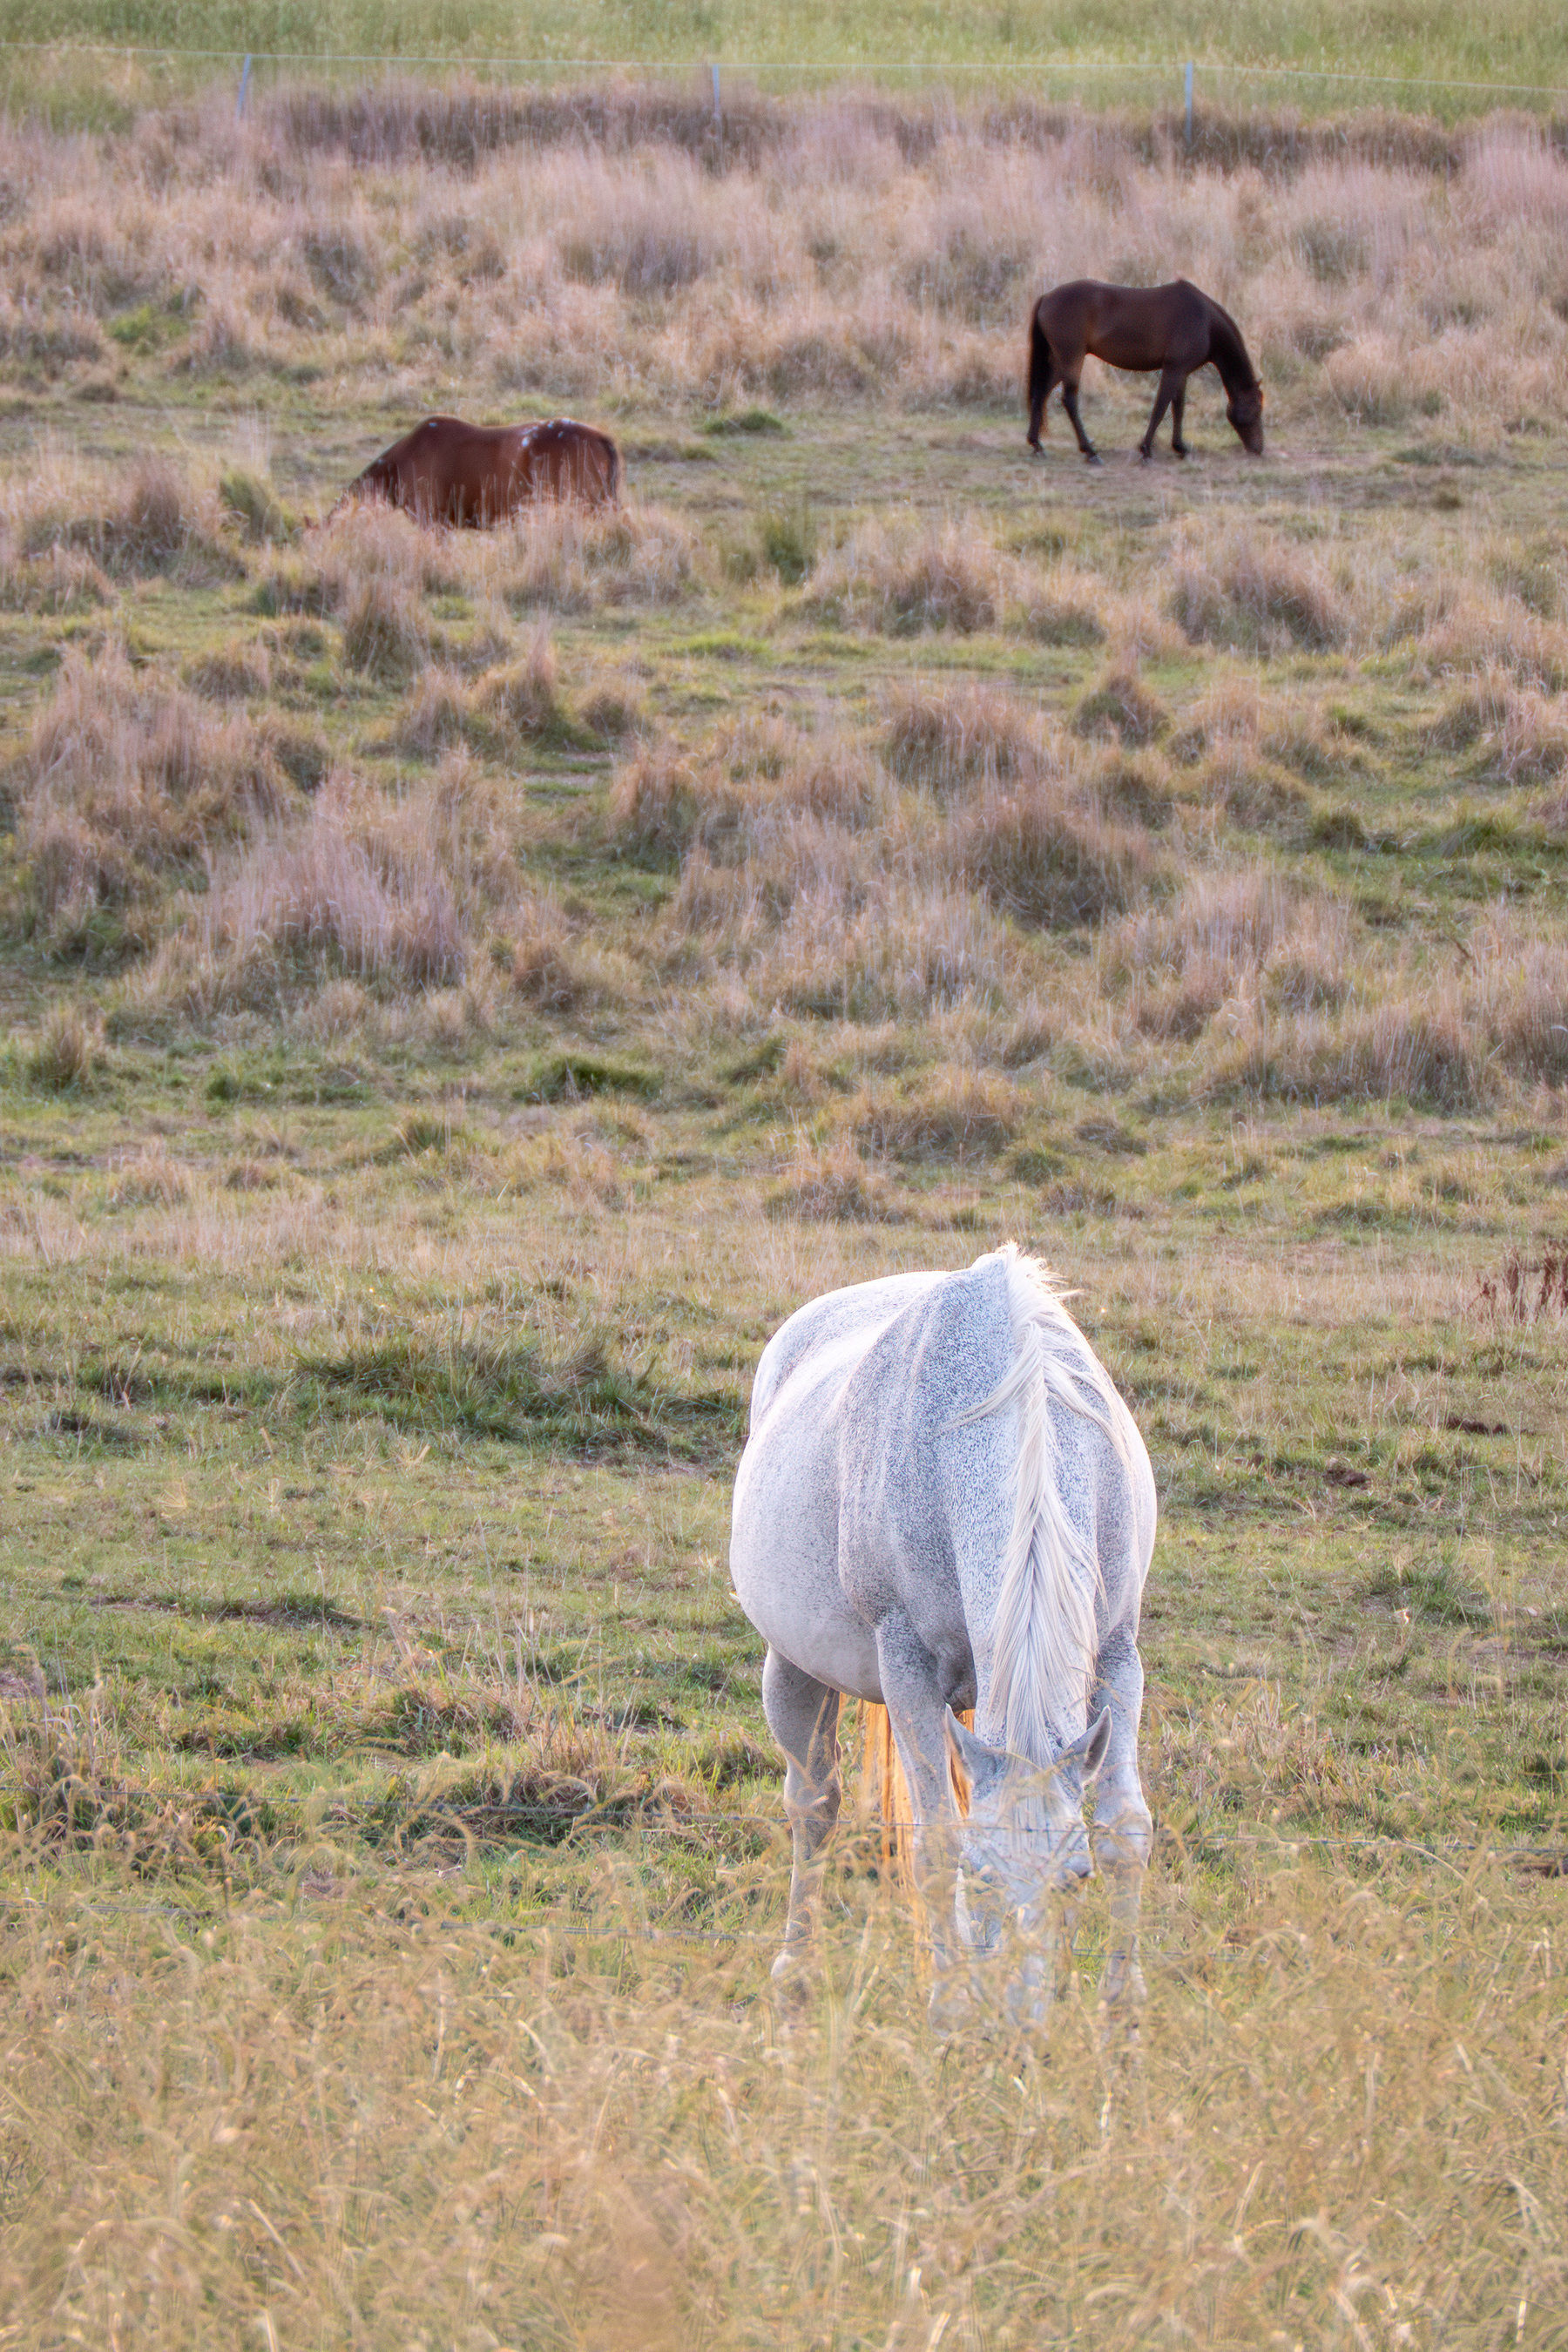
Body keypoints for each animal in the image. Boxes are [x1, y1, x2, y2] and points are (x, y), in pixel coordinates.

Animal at [728, 1241, 1161, 2031]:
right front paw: (952, 2006)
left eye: (1075, 1878)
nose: (1026, 2032)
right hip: (796, 1671)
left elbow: (1126, 1827)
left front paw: (1122, 2010)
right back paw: (795, 1973)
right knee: (813, 1806)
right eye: (983, 1878)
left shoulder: (1119, 1653)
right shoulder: (907, 1668)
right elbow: (937, 1842)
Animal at [1030, 277, 1260, 465]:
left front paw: (1180, 447)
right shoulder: (1173, 370)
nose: (1258, 449)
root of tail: (1046, 297)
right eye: (1256, 408)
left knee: (1041, 393)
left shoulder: (1182, 372)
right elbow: (1161, 408)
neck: (1205, 320)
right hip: (1072, 360)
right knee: (1069, 400)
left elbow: (1178, 408)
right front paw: (1146, 450)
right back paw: (1090, 452)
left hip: (1061, 363)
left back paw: (1037, 444)